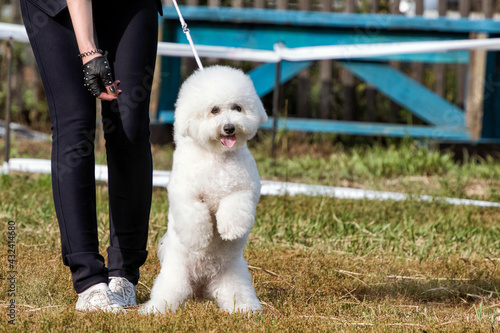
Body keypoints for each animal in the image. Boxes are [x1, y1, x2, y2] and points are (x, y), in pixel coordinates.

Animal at [141, 65, 270, 314]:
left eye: (238, 107)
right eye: (214, 110)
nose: (229, 128)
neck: (217, 158)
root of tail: (201, 285)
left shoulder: (245, 189)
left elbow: (235, 205)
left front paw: (231, 229)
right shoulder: (186, 193)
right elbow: (194, 215)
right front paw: (200, 238)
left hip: (233, 278)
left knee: (237, 295)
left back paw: (246, 309)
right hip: (175, 276)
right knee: (168, 293)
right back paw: (154, 310)